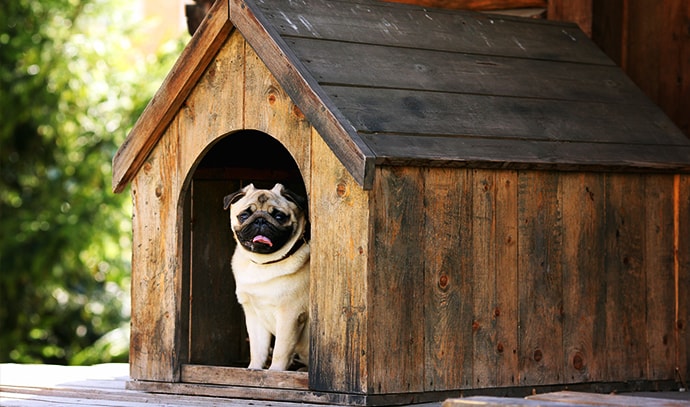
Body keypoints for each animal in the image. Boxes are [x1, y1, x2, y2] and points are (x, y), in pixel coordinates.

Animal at [223, 183, 310, 372]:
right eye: (244, 215)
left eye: (279, 216)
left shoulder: (289, 315)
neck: (263, 263)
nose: (260, 220)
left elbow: (280, 351)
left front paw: (275, 372)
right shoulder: (254, 315)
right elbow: (258, 349)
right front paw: (254, 369)